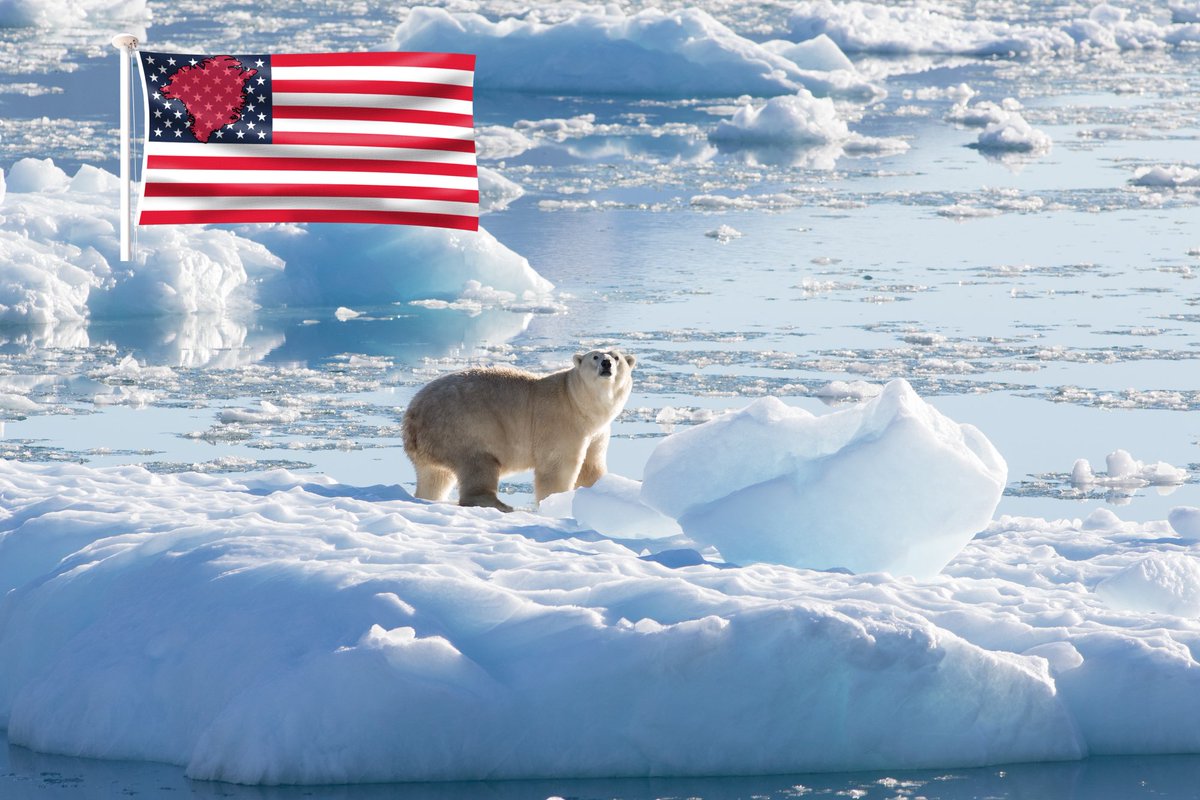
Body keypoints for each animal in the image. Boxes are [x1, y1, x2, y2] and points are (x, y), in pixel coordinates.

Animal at [402, 349, 636, 511]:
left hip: (434, 442)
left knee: (434, 476)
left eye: (616, 357)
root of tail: (412, 414)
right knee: (478, 464)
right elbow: (557, 467)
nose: (606, 363)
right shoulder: (561, 422)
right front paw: (556, 502)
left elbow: (591, 467)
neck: (577, 401)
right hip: (464, 426)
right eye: (595, 356)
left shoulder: (597, 432)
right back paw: (501, 505)